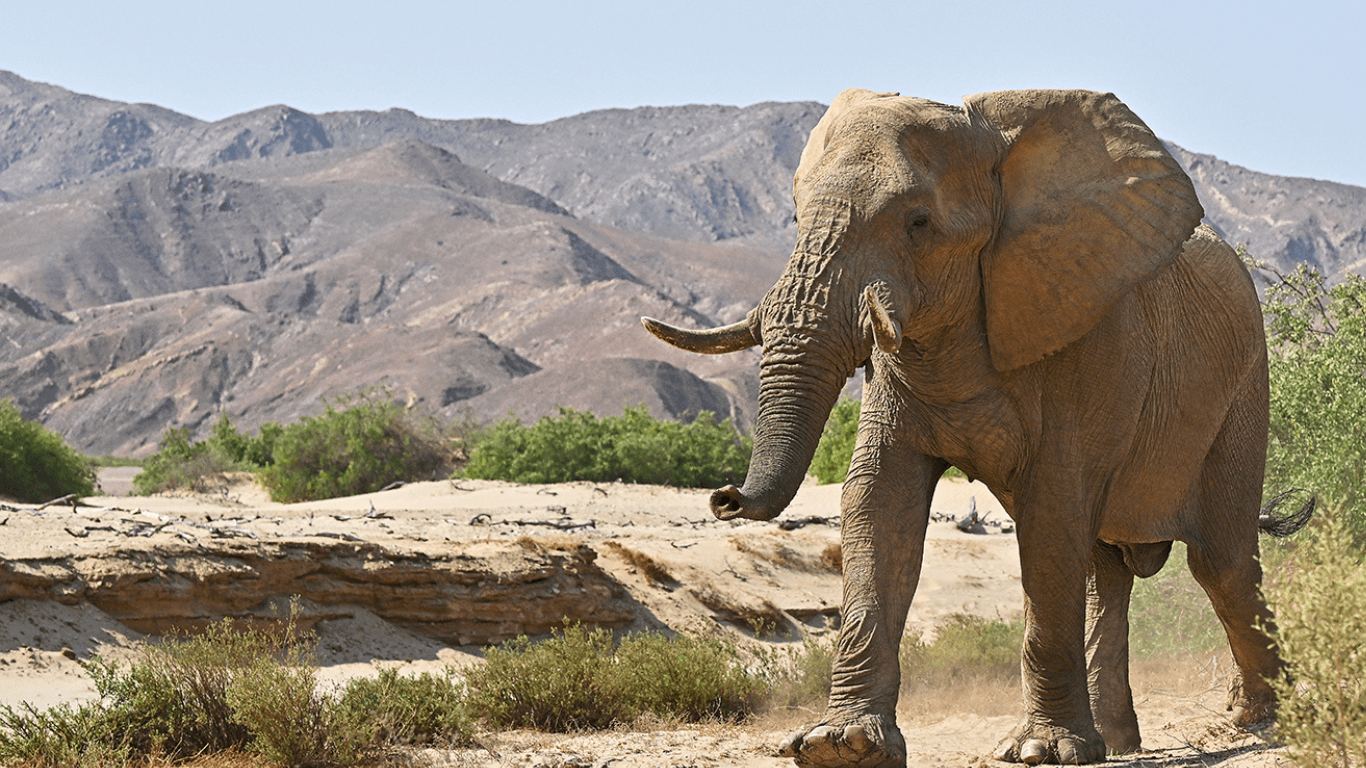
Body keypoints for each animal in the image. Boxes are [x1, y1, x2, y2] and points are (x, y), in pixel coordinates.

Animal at [639, 88, 1278, 759]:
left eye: (918, 223)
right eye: (794, 220)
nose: (724, 497)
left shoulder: (1078, 334)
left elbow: (1051, 513)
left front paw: (1041, 753)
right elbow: (878, 503)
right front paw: (840, 745)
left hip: (1242, 391)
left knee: (1221, 564)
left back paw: (1259, 718)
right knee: (1106, 572)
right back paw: (1118, 743)